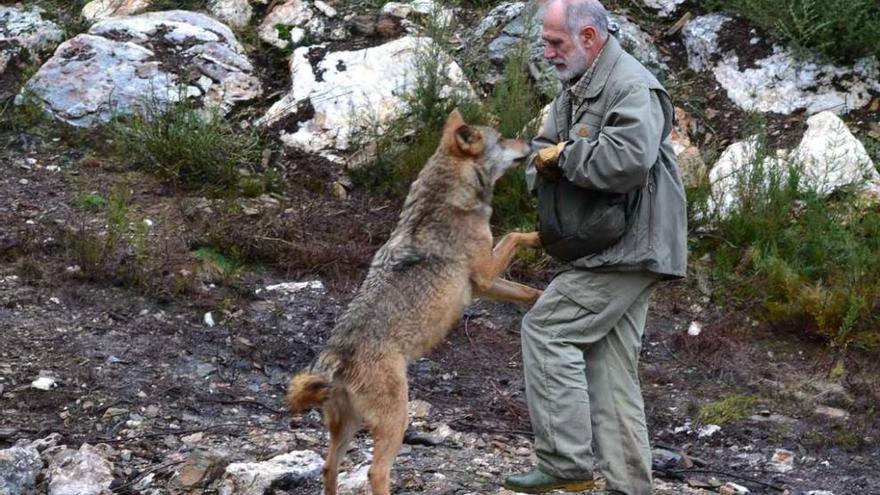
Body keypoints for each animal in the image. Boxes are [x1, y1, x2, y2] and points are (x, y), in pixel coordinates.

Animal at [288, 109, 544, 495]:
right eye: (501, 138)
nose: (530, 142)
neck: (447, 195)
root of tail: (335, 360)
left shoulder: (483, 286)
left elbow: (527, 291)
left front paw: (544, 296)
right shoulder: (486, 274)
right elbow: (515, 234)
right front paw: (541, 235)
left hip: (348, 428)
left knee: (328, 467)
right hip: (396, 420)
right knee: (375, 472)